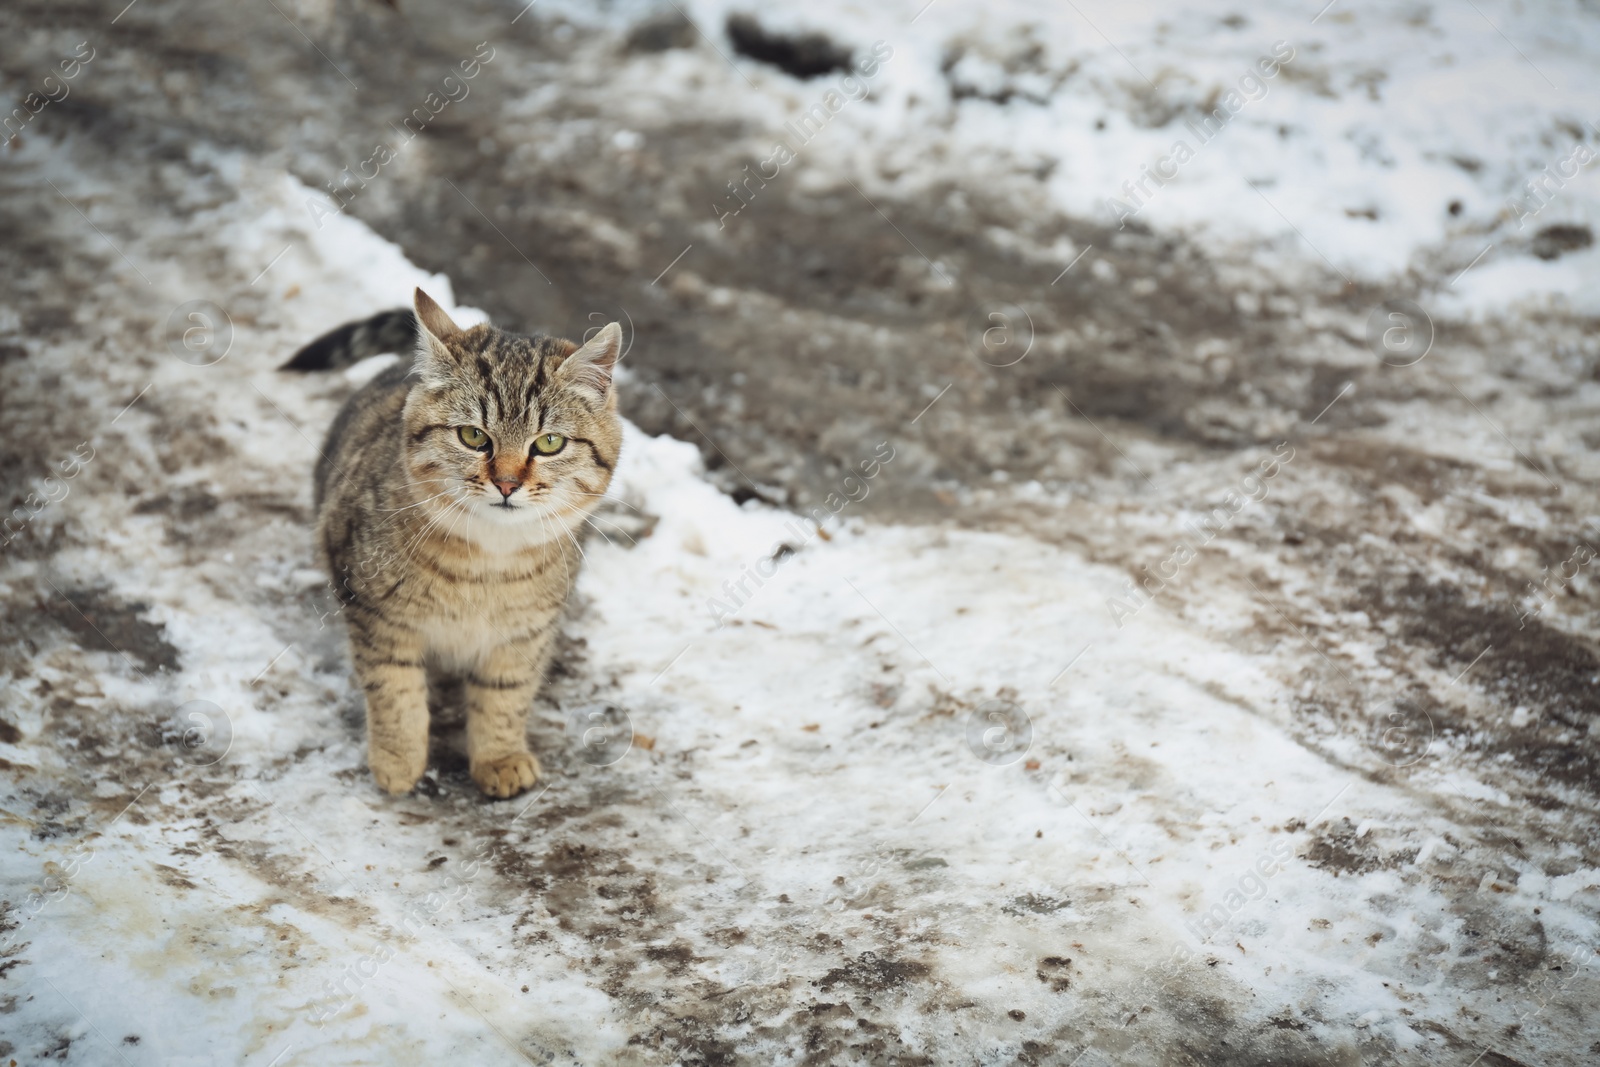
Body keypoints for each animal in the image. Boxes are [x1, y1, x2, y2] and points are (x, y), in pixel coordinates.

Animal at [281, 287, 617, 796]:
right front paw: (397, 759)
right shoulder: (375, 612)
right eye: (473, 435)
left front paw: (499, 756)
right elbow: (393, 688)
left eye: (549, 443)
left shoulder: (526, 633)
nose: (506, 484)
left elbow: (505, 696)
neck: (488, 563)